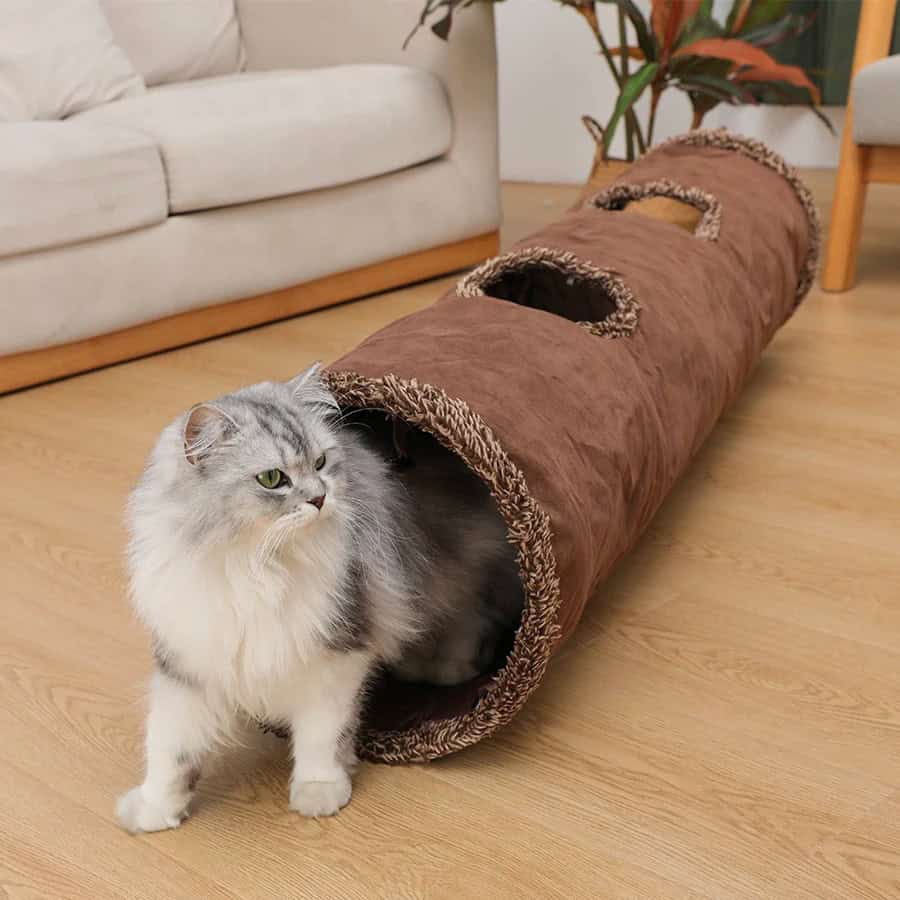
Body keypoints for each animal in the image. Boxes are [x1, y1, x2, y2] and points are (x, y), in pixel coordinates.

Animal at [116, 364, 521, 832]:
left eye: (321, 463)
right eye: (272, 479)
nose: (319, 497)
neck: (254, 568)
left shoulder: (335, 658)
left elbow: (321, 738)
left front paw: (319, 792)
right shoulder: (188, 663)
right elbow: (169, 747)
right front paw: (153, 810)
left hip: (458, 578)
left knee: (471, 624)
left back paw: (442, 668)